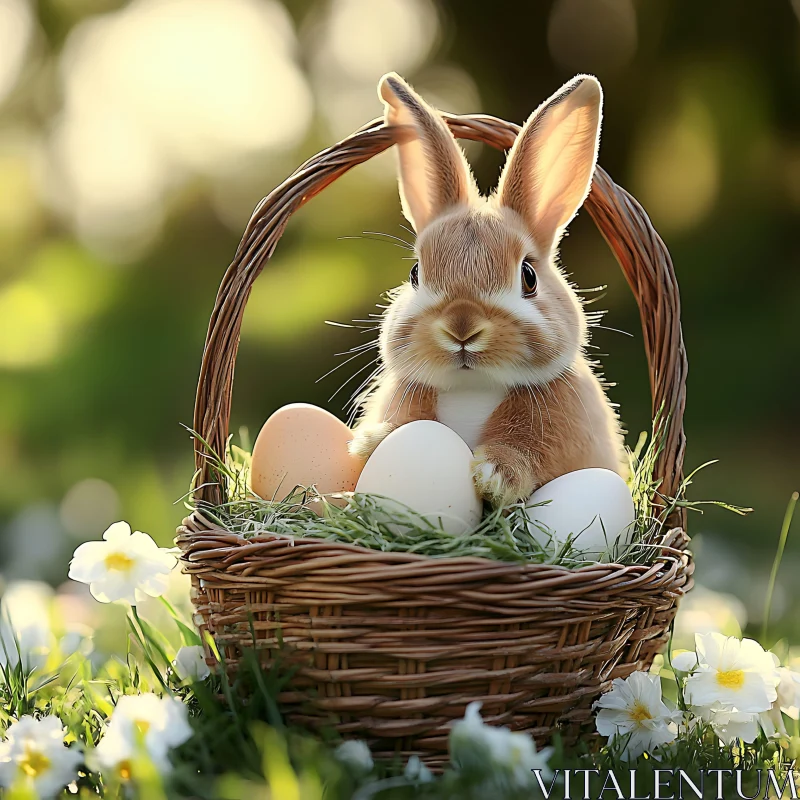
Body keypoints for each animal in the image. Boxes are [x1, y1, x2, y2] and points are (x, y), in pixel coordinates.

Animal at [346, 72, 628, 504]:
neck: (473, 388)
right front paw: (371, 442)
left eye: (529, 276)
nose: (461, 326)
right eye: (415, 273)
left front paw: (494, 474)